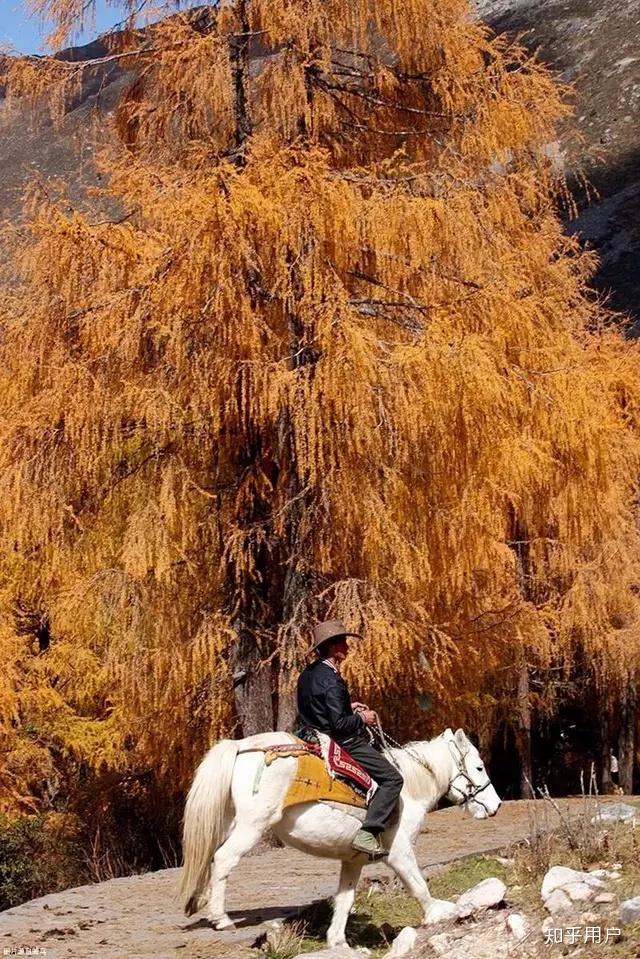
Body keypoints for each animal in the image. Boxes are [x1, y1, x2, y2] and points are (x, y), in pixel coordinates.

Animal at [179, 728, 500, 944]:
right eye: (479, 766)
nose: (495, 806)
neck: (409, 787)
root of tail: (243, 747)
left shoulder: (353, 860)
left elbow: (345, 899)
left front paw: (336, 940)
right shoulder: (399, 852)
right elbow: (418, 884)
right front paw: (439, 912)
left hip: (228, 823)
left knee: (207, 856)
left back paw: (199, 903)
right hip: (251, 826)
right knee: (223, 859)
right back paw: (221, 919)